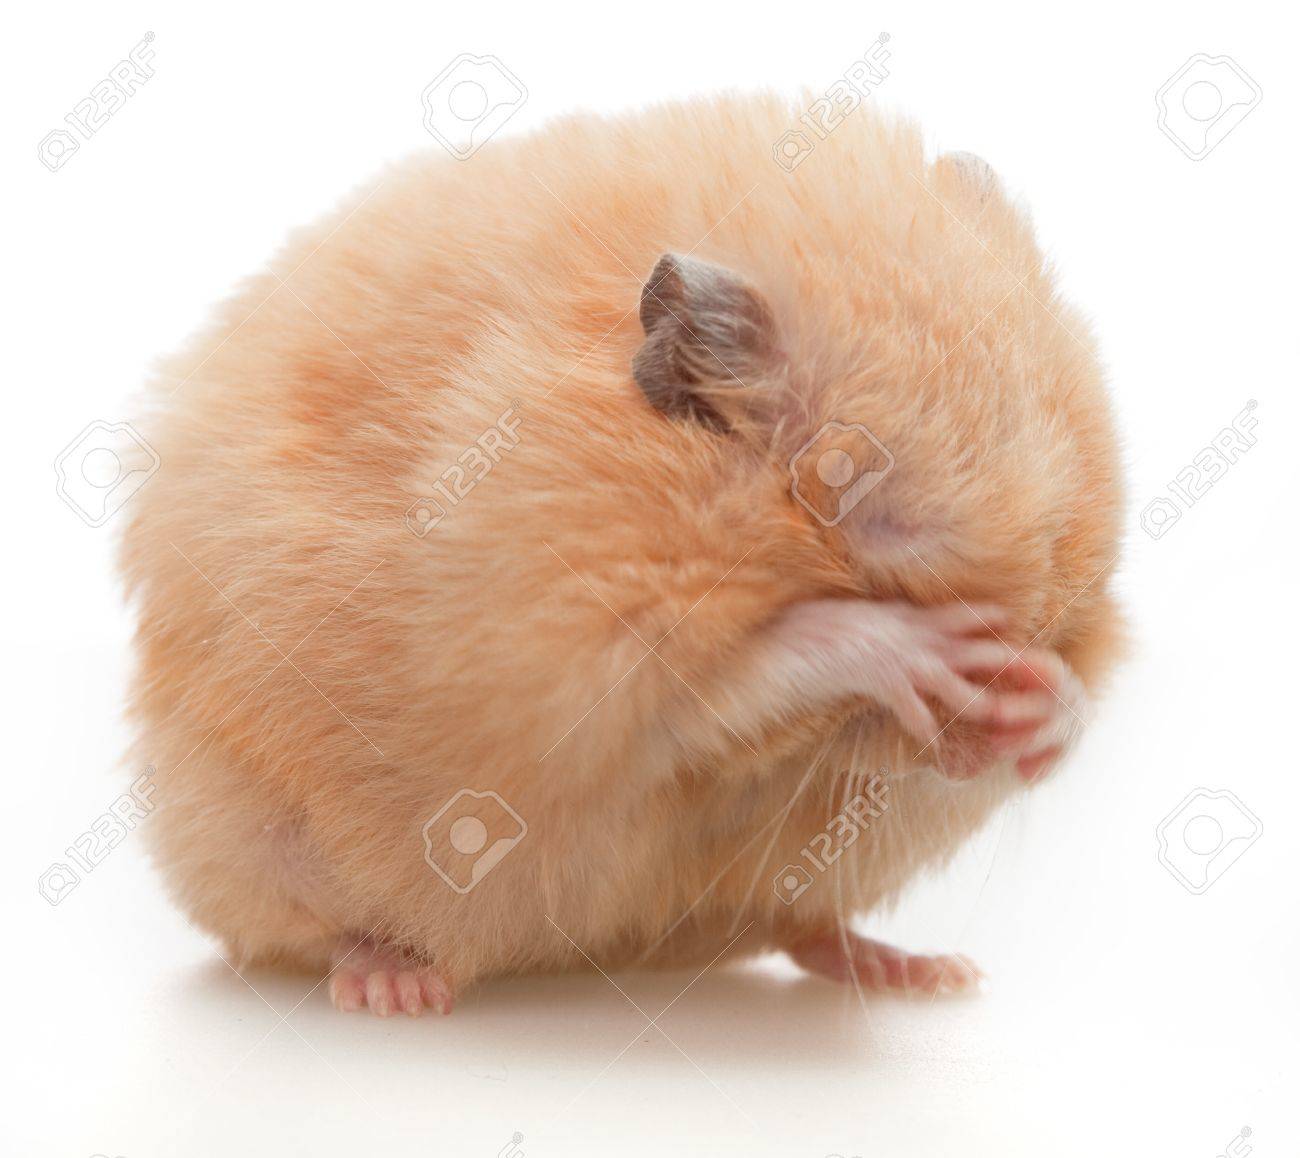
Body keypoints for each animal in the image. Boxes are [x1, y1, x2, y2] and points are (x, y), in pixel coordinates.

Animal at [120, 94, 1124, 1016]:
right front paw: (928, 656)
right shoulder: (562, 656)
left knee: (802, 927)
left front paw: (1043, 707)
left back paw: (924, 973)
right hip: (247, 829)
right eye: (876, 533)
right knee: (324, 930)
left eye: (1070, 550)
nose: (975, 752)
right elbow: (743, 673)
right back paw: (394, 985)